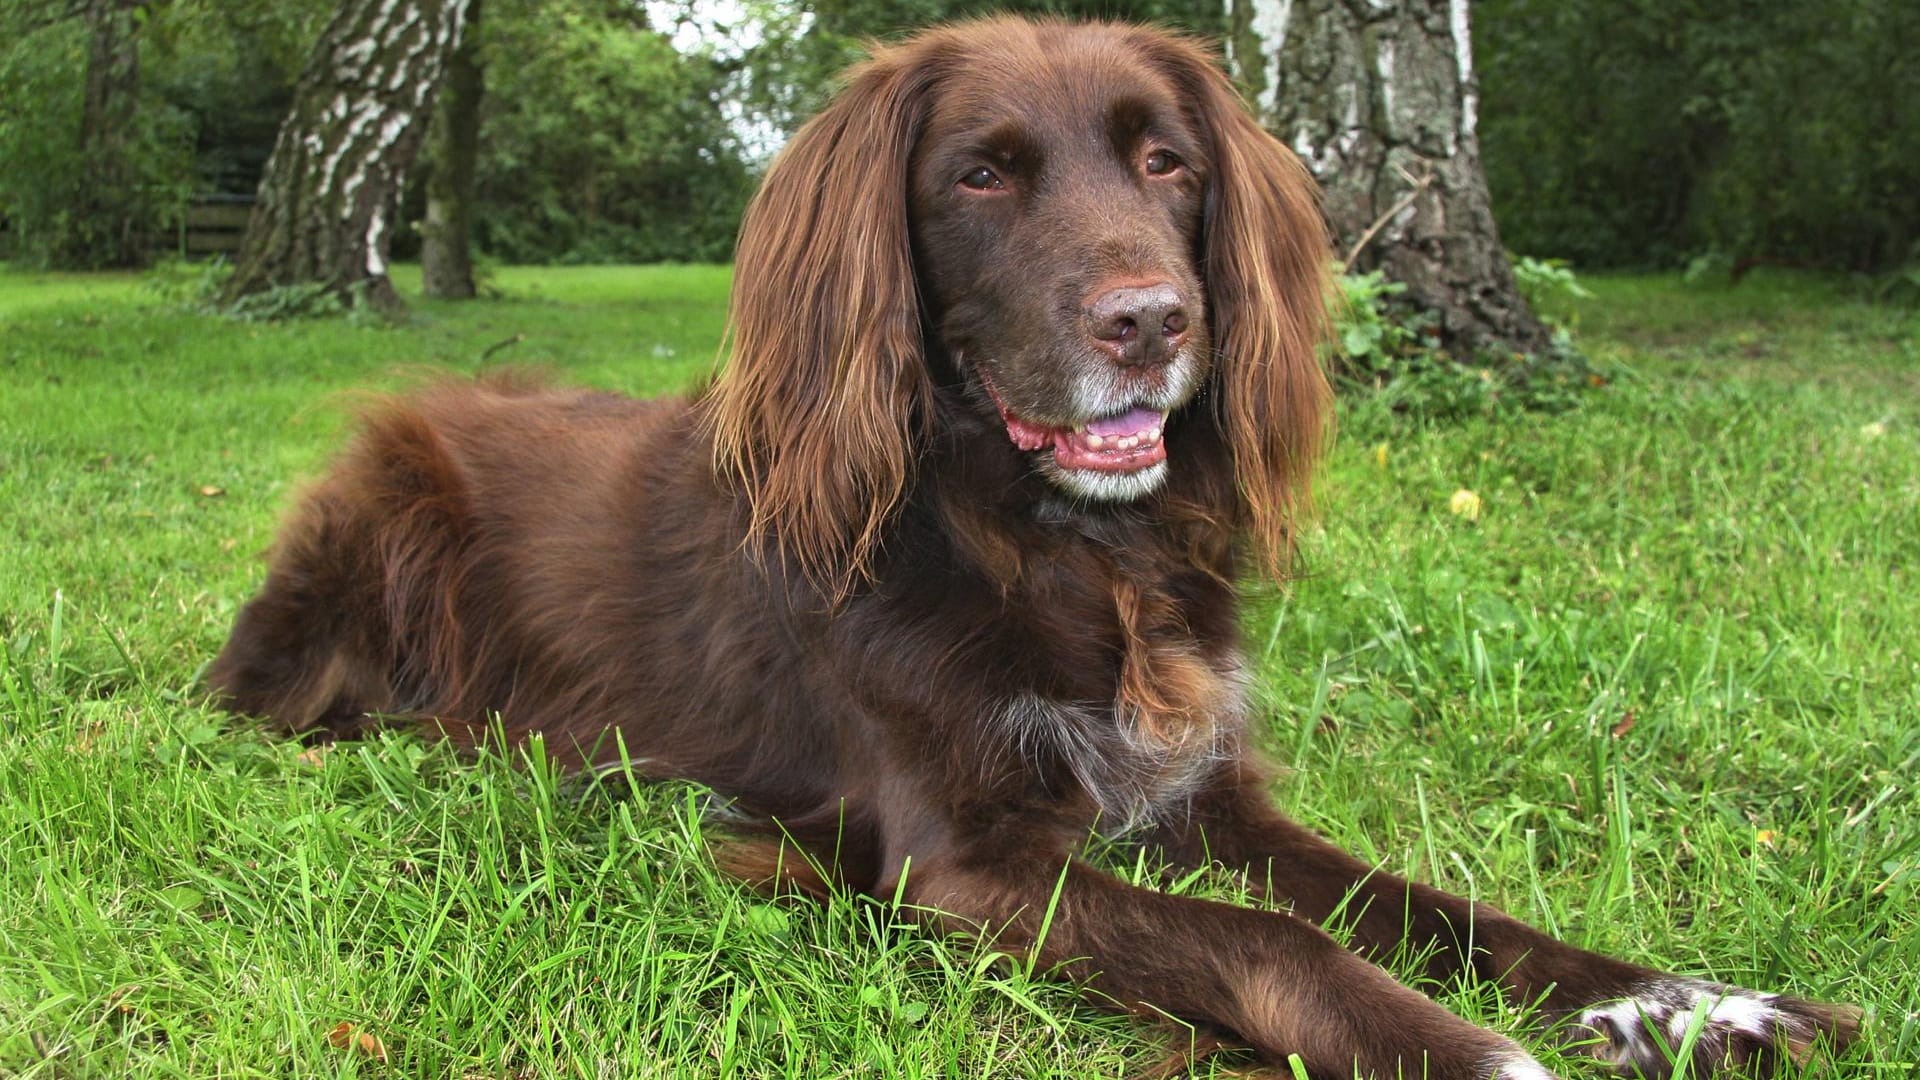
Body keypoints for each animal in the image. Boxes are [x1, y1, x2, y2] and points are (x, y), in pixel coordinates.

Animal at [214, 16, 1858, 1076]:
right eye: (982, 174)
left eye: (1170, 163)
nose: (1154, 326)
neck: (1066, 554)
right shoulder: (961, 865)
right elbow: (1271, 947)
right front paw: (1471, 1055)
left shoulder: (1203, 794)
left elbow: (1430, 906)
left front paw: (1690, 1004)